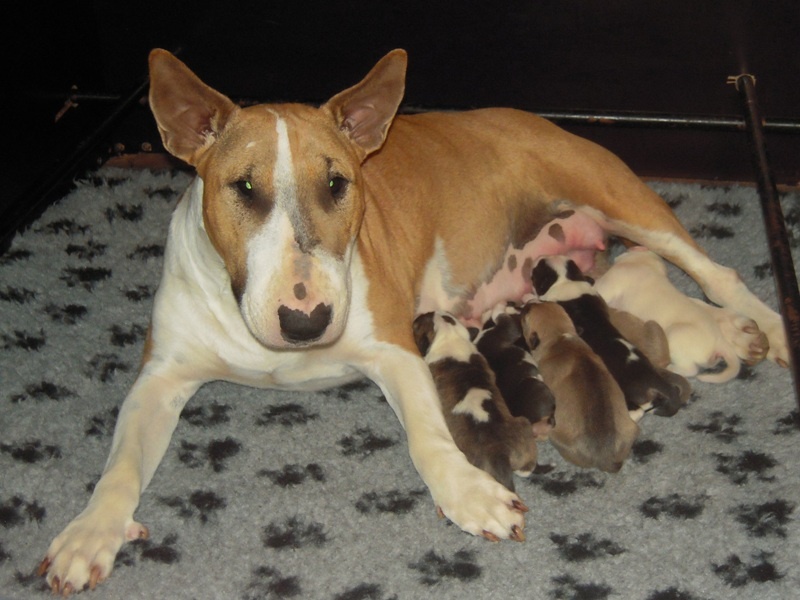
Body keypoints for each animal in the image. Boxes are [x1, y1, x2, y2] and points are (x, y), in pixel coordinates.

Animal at [412, 310, 536, 502]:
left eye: (418, 324)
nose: (418, 315)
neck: (451, 337)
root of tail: (499, 451)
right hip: (523, 425)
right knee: (526, 468)